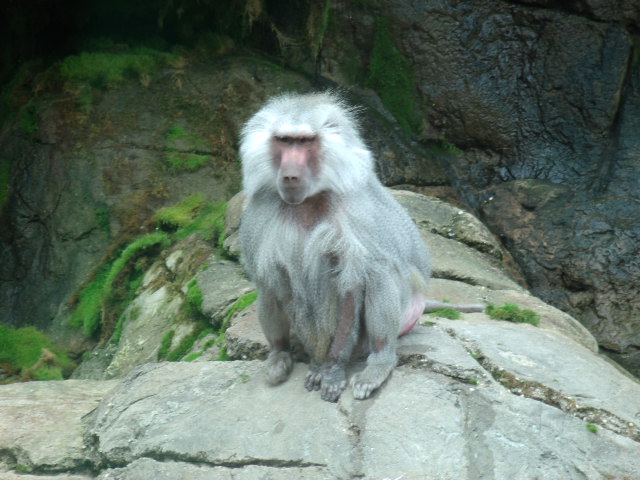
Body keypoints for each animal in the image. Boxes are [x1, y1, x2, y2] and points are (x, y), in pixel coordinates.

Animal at [239, 92, 483, 402]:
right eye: (284, 140)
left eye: (305, 141)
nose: (290, 175)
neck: (310, 200)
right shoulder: (262, 213)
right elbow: (281, 282)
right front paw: (315, 365)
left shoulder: (355, 216)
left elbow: (352, 286)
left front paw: (330, 371)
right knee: (268, 285)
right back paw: (280, 356)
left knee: (378, 273)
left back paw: (378, 364)